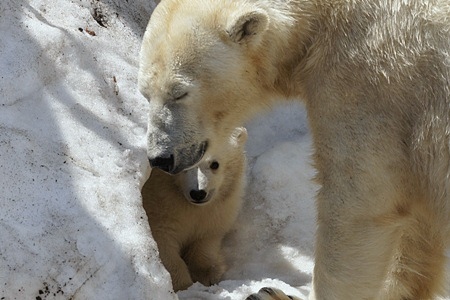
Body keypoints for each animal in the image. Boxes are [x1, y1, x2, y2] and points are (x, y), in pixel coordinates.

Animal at [139, 0, 450, 298]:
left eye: (179, 92)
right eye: (145, 93)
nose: (160, 157)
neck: (325, 18)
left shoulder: (370, 85)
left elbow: (358, 207)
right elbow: (420, 229)